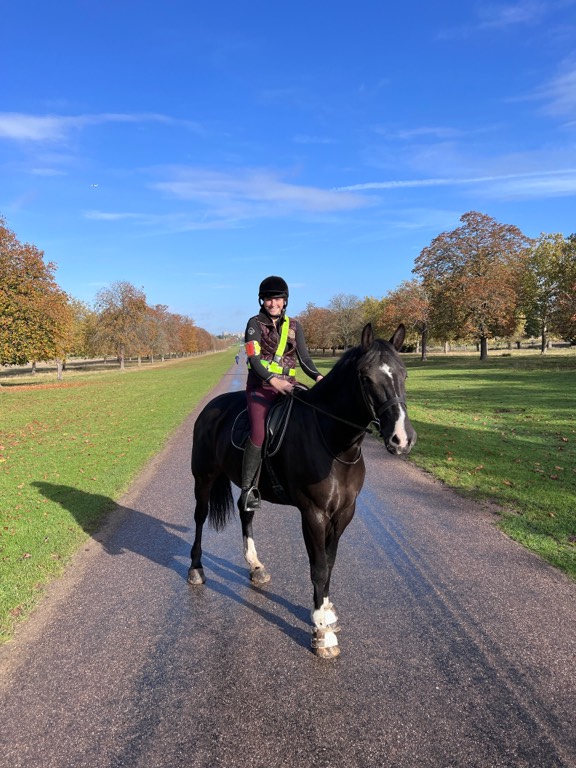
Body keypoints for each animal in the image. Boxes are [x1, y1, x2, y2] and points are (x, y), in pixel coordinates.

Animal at [187, 323, 416, 658]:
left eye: (404, 373)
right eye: (365, 377)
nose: (402, 438)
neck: (334, 443)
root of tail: (210, 408)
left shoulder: (344, 513)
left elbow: (330, 563)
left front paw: (327, 611)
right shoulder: (314, 514)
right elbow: (318, 567)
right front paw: (321, 631)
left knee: (246, 512)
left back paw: (256, 566)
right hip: (203, 478)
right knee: (200, 518)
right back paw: (196, 569)